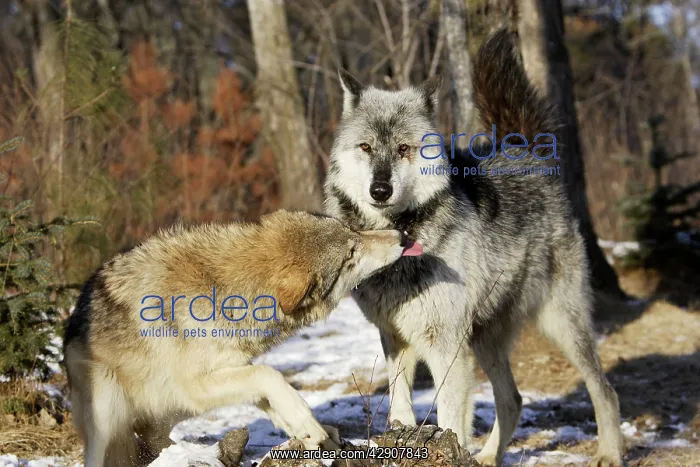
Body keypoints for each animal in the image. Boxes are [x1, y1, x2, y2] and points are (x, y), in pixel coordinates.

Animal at [63, 210, 422, 467]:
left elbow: (270, 393)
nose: (402, 235)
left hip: (174, 406)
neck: (225, 287)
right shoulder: (197, 384)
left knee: (152, 438)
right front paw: (308, 425)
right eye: (351, 254)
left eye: (352, 232)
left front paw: (313, 433)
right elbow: (271, 376)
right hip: (110, 412)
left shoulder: (231, 371)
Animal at [324, 28, 623, 466]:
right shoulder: (394, 337)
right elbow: (399, 406)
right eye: (365, 147)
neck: (403, 238)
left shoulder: (446, 346)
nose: (380, 190)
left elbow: (450, 417)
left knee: (604, 389)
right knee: (513, 399)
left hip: (561, 324)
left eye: (403, 149)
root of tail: (524, 150)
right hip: (484, 338)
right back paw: (487, 457)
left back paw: (610, 453)